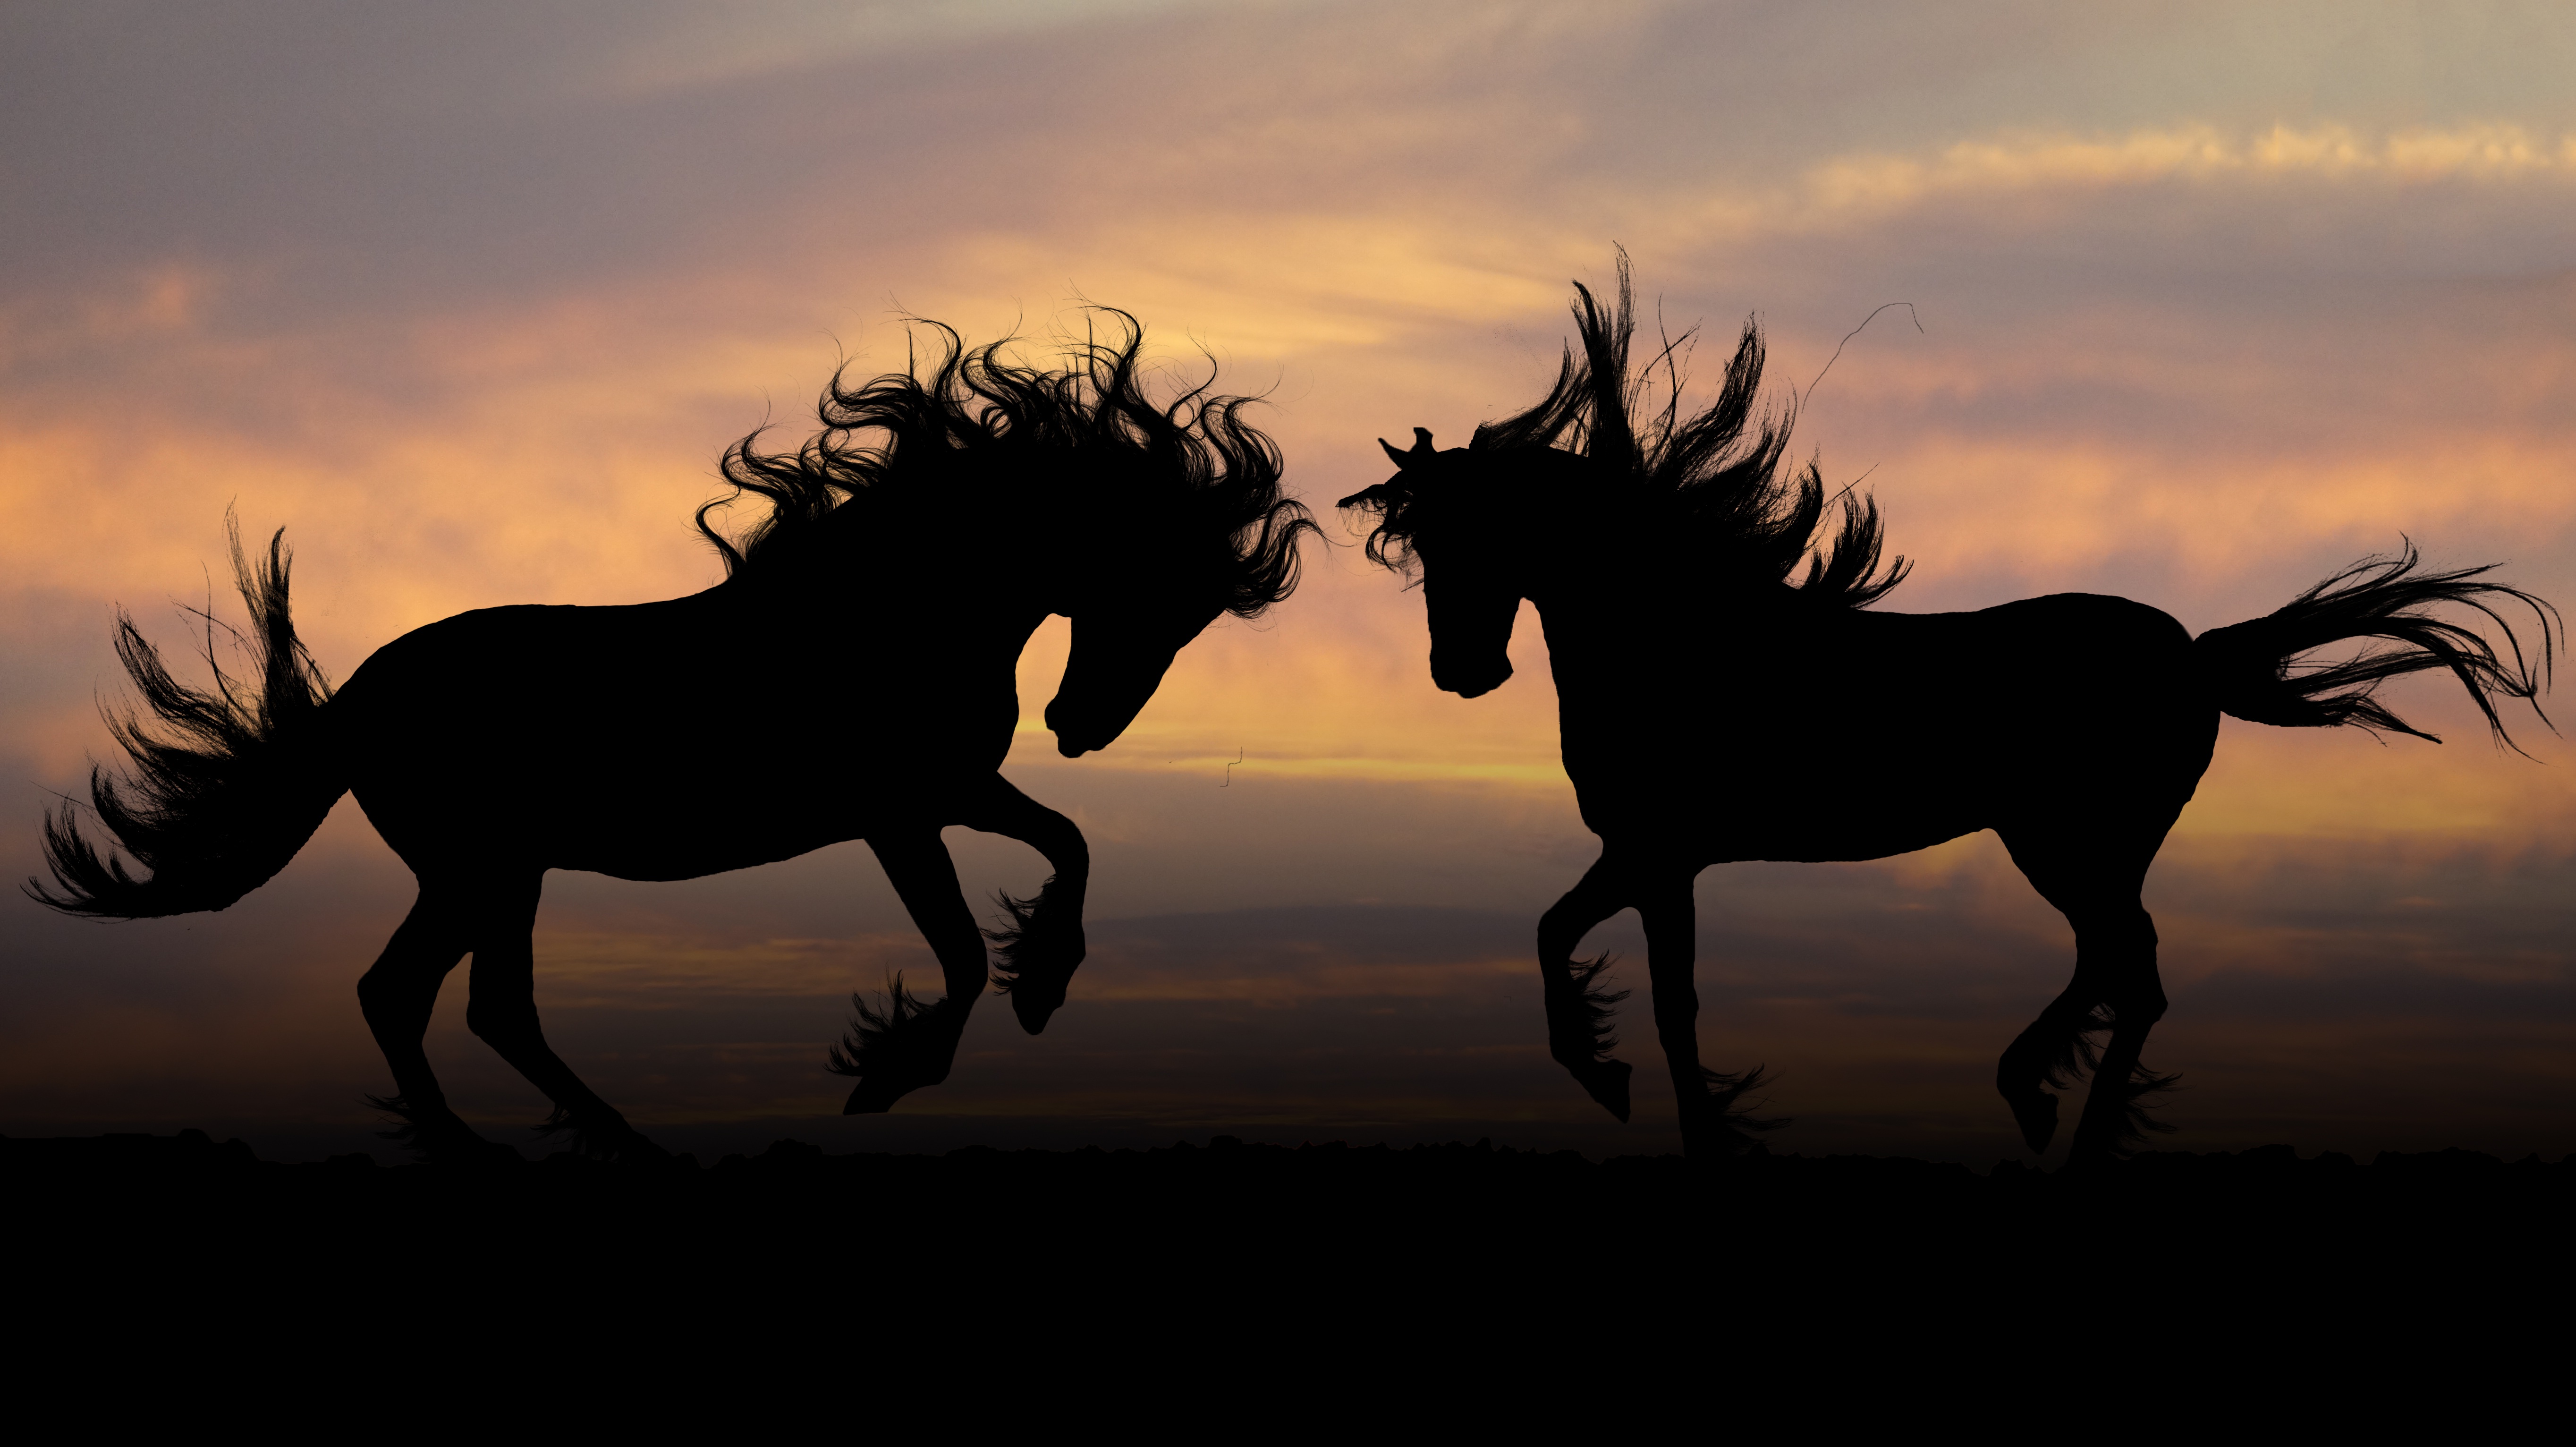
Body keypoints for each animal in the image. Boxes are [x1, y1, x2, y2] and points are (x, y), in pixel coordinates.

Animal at [35, 315, 1329, 1158]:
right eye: (1157, 588)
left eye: (1194, 617)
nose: (1082, 726)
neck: (892, 605)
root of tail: (358, 699)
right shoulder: (899, 812)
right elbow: (964, 946)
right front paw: (890, 1070)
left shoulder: (952, 789)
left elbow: (1066, 845)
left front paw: (1043, 985)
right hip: (483, 865)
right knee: (429, 996)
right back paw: (548, 1152)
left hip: (493, 871)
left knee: (451, 1000)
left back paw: (570, 1148)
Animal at [1349, 256, 2555, 1158]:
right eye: (1418, 543)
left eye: (1481, 533)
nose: (1462, 672)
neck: (1679, 635)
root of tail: (2188, 655)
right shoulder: (1641, 853)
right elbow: (1560, 936)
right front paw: (1610, 1080)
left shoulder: (1663, 853)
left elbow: (1665, 996)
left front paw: (1662, 1108)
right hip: (2084, 843)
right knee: (2121, 968)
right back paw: (2048, 1109)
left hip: (2068, 837)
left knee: (2128, 967)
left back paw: (2048, 1111)